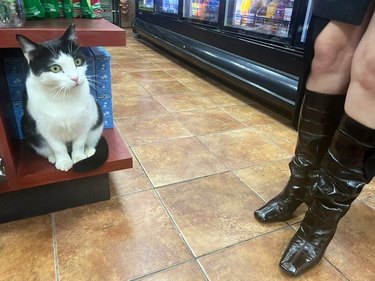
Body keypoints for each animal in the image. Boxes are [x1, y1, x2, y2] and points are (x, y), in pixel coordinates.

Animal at [16, 24, 108, 172]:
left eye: (77, 61)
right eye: (55, 68)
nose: (76, 78)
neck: (63, 95)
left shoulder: (84, 121)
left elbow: (79, 143)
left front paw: (79, 158)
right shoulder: (45, 127)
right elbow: (58, 147)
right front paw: (64, 161)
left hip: (97, 114)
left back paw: (88, 151)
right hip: (26, 125)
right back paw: (53, 157)